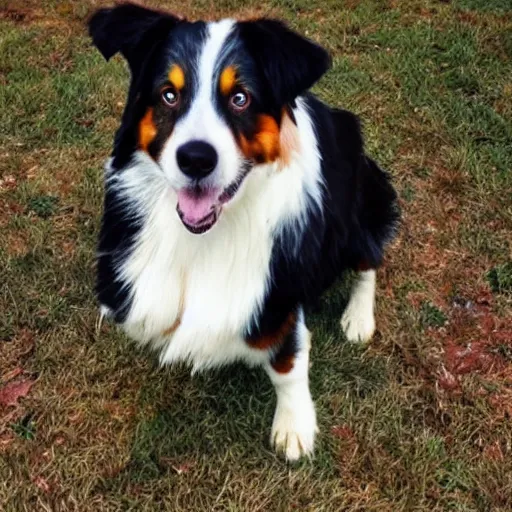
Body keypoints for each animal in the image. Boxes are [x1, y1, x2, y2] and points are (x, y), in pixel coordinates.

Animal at [88, 2, 400, 462]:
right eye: (168, 94)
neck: (205, 235)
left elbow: (288, 363)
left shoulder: (276, 295)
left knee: (369, 262)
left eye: (240, 98)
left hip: (361, 207)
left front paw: (294, 427)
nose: (195, 159)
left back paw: (358, 318)